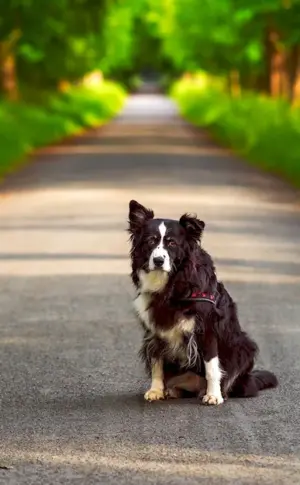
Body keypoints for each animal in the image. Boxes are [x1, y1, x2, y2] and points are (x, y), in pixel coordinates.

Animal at [127, 199, 278, 402]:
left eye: (172, 243)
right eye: (151, 241)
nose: (158, 260)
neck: (173, 283)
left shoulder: (207, 328)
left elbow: (212, 367)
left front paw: (214, 395)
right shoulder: (154, 328)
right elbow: (156, 361)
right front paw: (156, 390)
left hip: (244, 346)